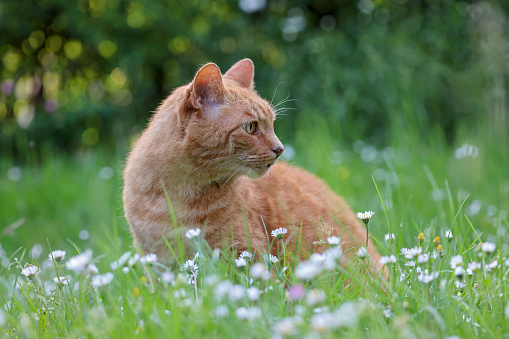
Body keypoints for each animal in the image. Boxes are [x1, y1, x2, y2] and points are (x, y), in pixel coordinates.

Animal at [121, 58, 380, 270]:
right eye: (251, 127)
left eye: (272, 124)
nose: (280, 149)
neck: (179, 194)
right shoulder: (161, 265)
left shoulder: (246, 255)